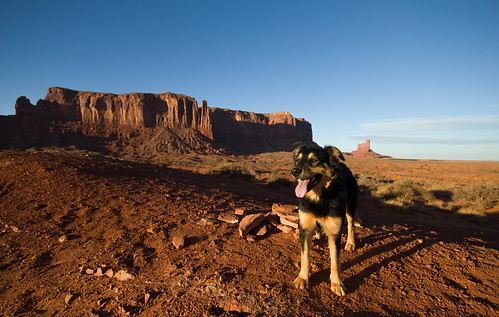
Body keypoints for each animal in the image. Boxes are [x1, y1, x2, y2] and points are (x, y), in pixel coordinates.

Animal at [292, 144, 362, 296]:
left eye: (314, 160)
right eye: (297, 160)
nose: (294, 171)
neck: (319, 198)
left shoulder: (334, 232)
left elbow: (335, 259)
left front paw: (337, 283)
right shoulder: (304, 229)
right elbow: (305, 256)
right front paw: (303, 278)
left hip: (350, 205)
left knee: (351, 224)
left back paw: (350, 243)